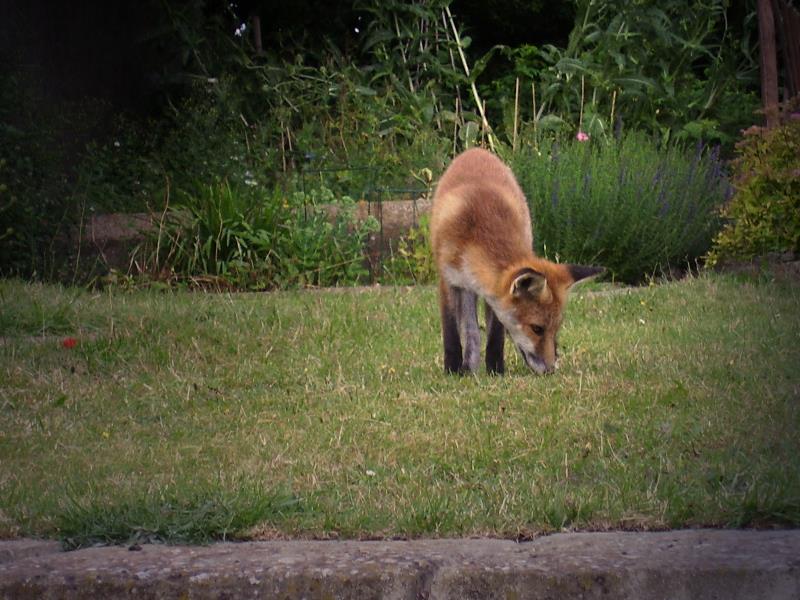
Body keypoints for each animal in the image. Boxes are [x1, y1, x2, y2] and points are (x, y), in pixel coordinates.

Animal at [432, 148, 600, 376]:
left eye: (555, 329)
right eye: (537, 328)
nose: (550, 370)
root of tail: (477, 150)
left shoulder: (493, 292)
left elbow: (495, 335)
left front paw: (495, 370)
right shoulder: (448, 280)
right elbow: (452, 333)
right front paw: (453, 369)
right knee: (471, 331)